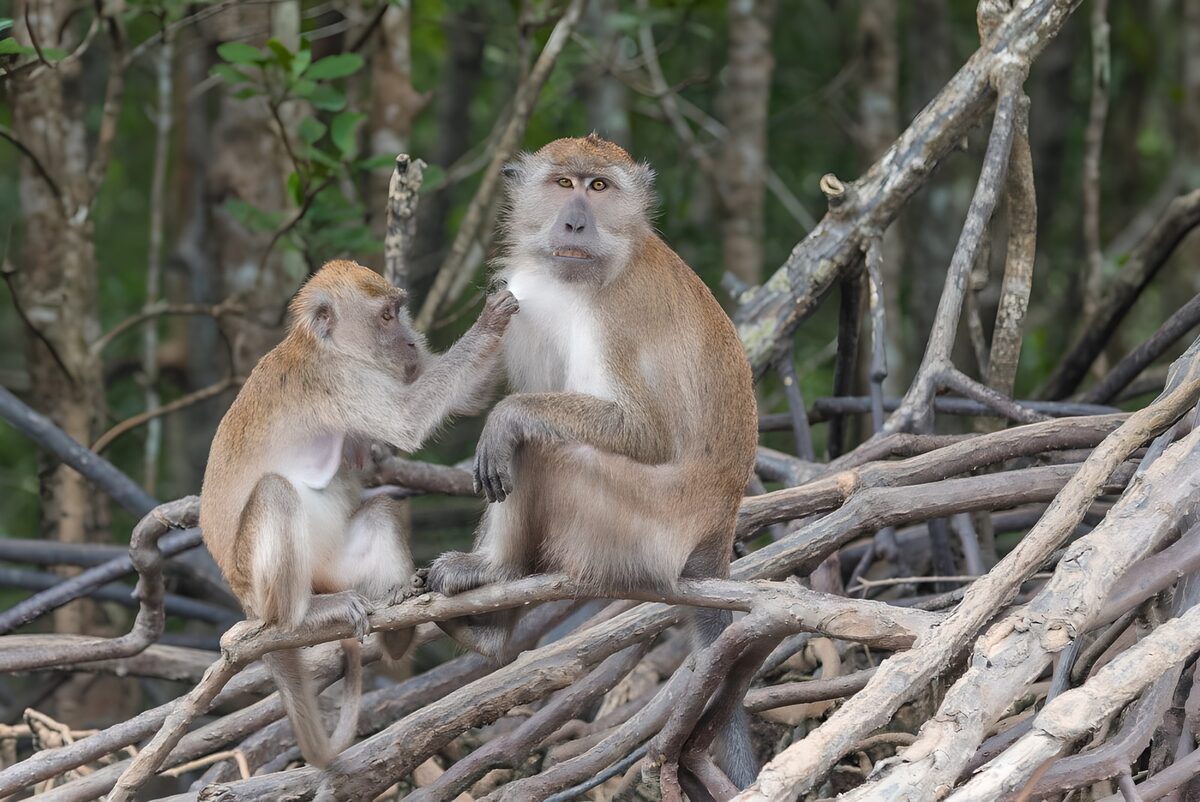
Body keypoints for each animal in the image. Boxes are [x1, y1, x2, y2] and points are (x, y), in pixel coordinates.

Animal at [200, 260, 518, 768]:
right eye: (387, 317)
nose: (411, 343)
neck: (325, 346)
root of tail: (246, 601)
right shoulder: (338, 380)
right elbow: (408, 419)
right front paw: (491, 318)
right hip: (264, 587)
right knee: (275, 493)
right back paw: (301, 620)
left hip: (335, 569)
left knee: (381, 511)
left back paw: (399, 620)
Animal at [424, 135, 760, 787]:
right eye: (564, 183)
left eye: (599, 187)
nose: (575, 222)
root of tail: (717, 529)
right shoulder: (528, 295)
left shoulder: (622, 312)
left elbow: (645, 432)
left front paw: (504, 418)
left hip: (641, 525)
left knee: (541, 450)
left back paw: (496, 586)